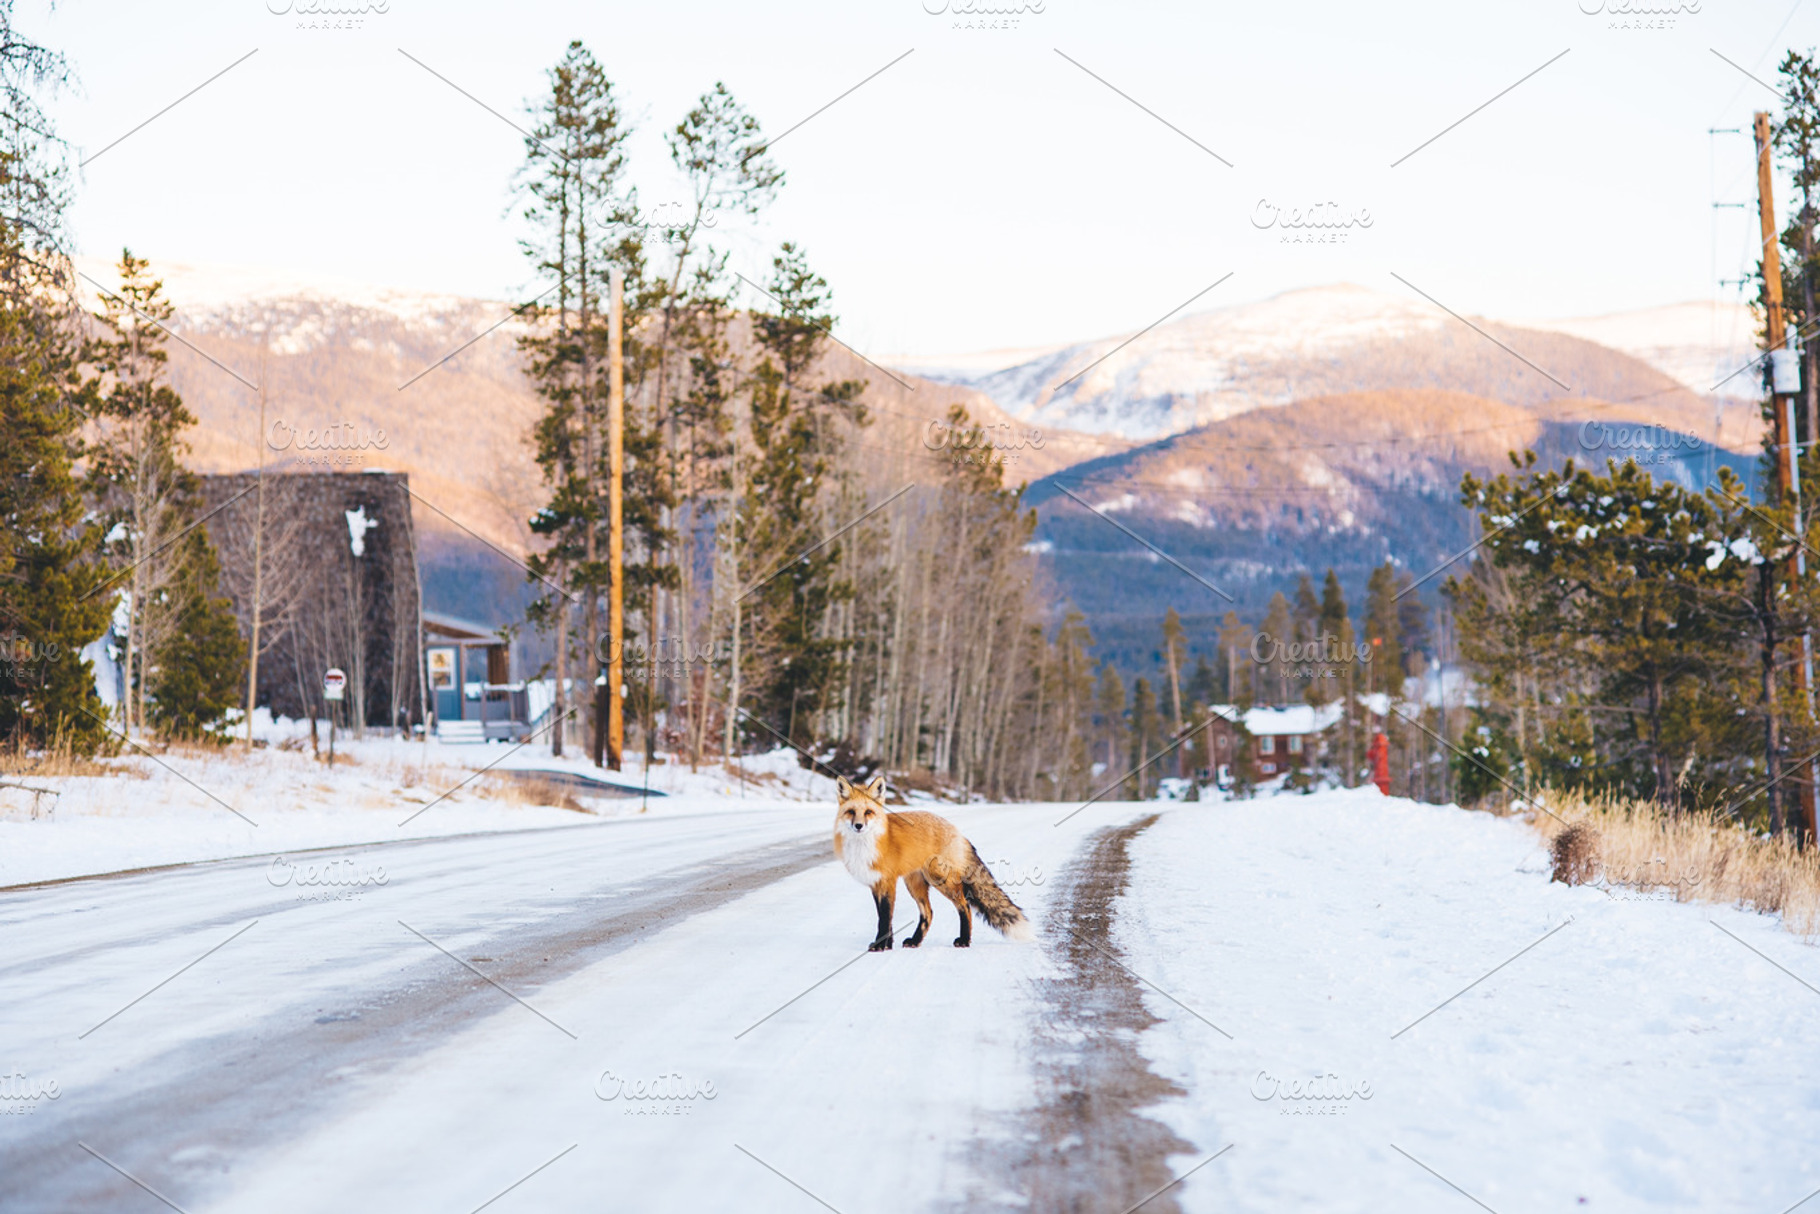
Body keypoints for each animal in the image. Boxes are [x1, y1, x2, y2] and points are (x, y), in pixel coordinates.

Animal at [833, 774, 1035, 951]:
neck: (866, 845)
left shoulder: (887, 882)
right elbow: (886, 919)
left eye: (868, 812)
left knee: (965, 906)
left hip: (941, 879)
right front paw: (887, 945)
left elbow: (884, 918)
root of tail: (957, 831)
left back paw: (964, 940)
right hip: (914, 884)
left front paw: (880, 946)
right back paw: (915, 941)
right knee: (928, 913)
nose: (859, 826)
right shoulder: (876, 884)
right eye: (851, 812)